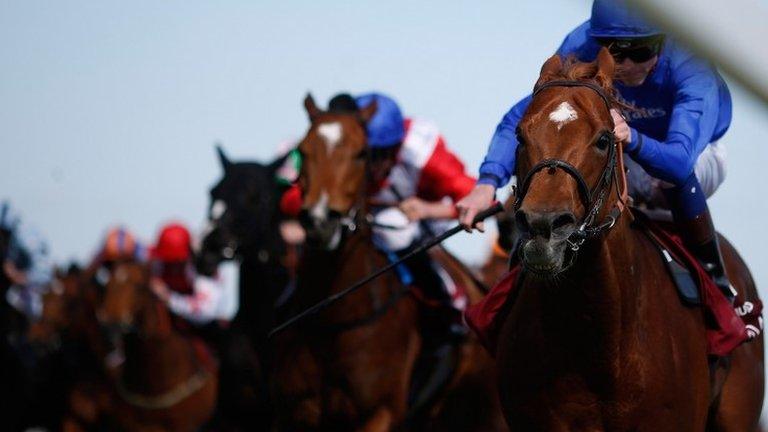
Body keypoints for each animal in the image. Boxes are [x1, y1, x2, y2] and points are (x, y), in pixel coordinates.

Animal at [272, 95, 508, 432]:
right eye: (303, 151)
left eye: (361, 153)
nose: (320, 222)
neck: (332, 320)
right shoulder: (296, 412)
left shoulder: (381, 412)